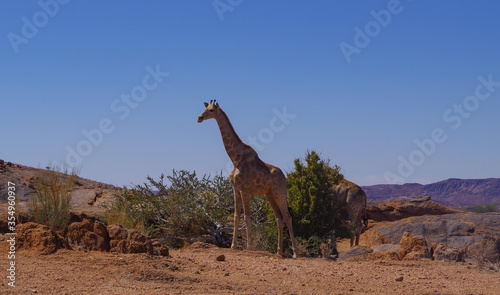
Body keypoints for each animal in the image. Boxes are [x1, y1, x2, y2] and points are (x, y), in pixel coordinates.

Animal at [196, 100, 298, 258]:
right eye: (205, 108)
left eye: (211, 110)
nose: (199, 118)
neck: (235, 158)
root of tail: (285, 177)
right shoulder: (235, 189)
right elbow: (236, 216)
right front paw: (233, 246)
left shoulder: (245, 190)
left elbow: (247, 217)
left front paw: (249, 247)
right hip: (269, 194)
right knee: (279, 218)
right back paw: (279, 251)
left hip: (280, 193)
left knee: (287, 217)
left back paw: (295, 253)